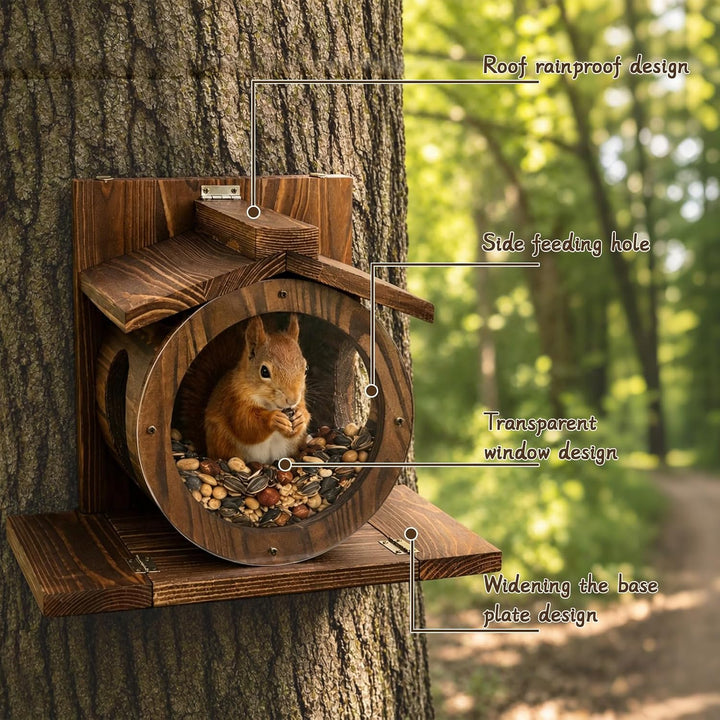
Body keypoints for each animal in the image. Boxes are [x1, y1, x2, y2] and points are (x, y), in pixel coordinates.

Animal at [204, 314, 311, 464]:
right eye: (264, 371)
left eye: (306, 369)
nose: (292, 399)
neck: (270, 405)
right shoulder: (234, 400)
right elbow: (245, 424)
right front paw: (273, 419)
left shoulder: (300, 401)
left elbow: (304, 413)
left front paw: (301, 417)